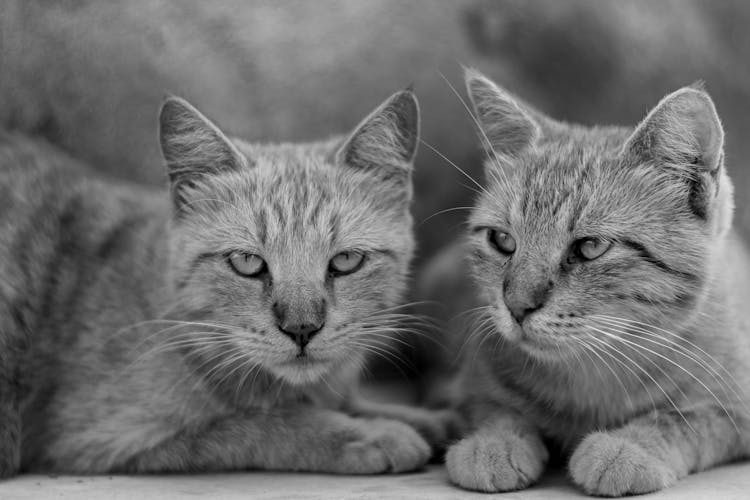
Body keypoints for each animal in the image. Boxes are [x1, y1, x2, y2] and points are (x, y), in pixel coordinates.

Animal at [0, 89, 452, 476]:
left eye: (345, 260)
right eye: (248, 262)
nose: (301, 328)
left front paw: (426, 418)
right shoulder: (105, 438)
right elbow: (264, 423)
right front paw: (368, 432)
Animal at [440, 69, 750, 496]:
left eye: (590, 247)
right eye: (502, 240)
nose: (516, 306)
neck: (593, 372)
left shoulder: (738, 407)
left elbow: (687, 418)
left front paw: (631, 446)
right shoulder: (468, 383)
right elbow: (493, 408)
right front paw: (494, 442)